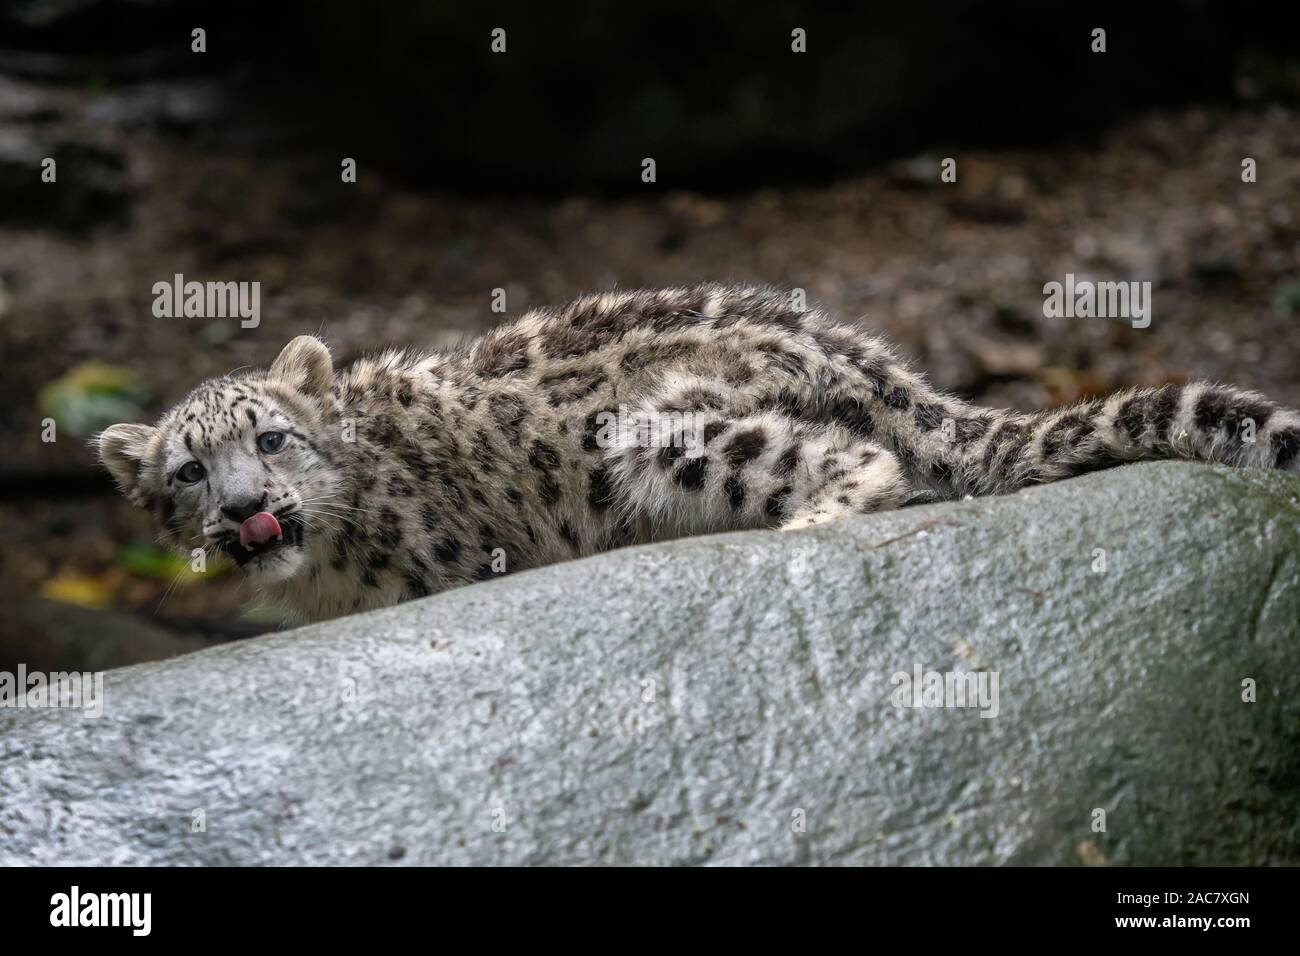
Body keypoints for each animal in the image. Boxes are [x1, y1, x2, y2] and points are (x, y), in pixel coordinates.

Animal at [96, 283, 1300, 622]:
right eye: (187, 472)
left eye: (271, 437)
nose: (243, 507)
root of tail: (866, 355)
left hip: (657, 432)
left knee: (862, 463)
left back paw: (808, 521)